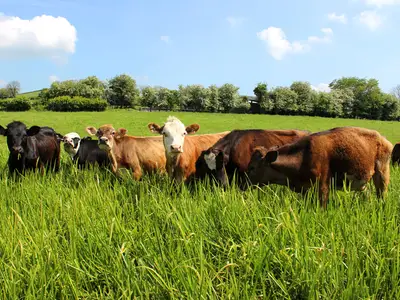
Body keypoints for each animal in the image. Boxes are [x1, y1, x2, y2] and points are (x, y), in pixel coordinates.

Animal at [245, 125, 392, 207]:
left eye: (252, 168)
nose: (241, 184)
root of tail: (384, 139)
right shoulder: (305, 189)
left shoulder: (323, 186)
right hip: (361, 180)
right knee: (367, 193)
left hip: (382, 173)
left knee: (382, 194)